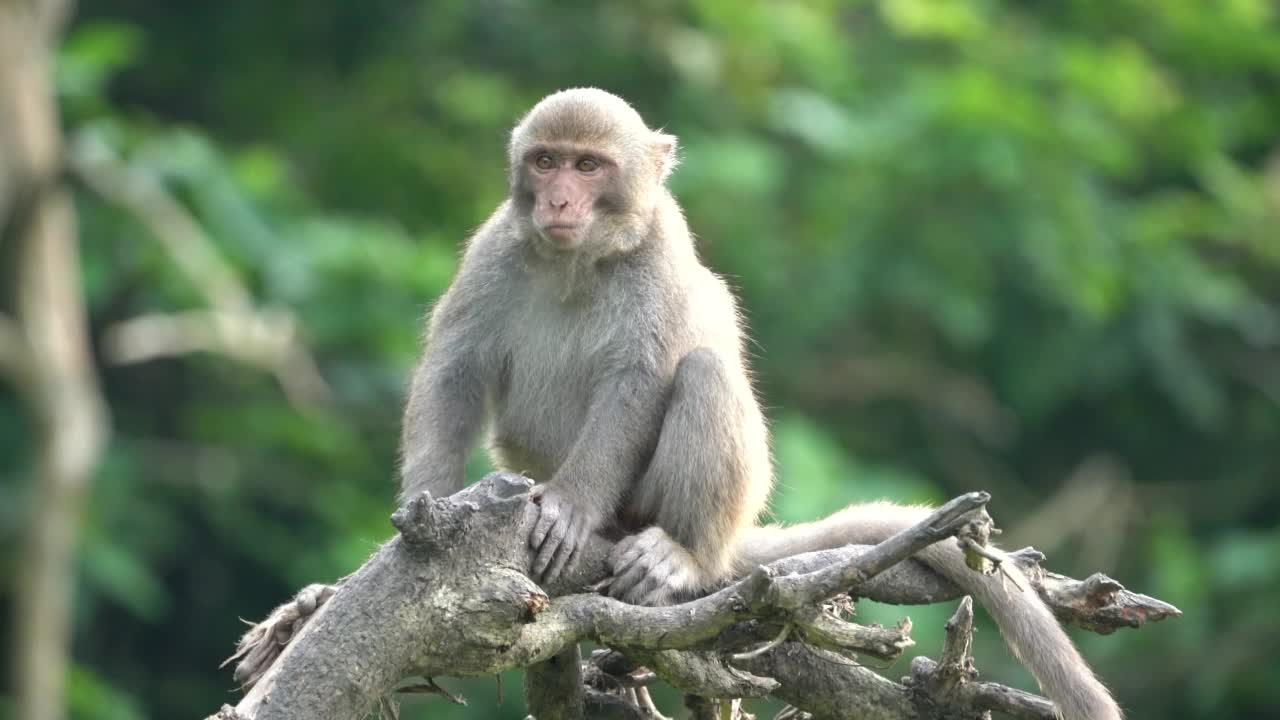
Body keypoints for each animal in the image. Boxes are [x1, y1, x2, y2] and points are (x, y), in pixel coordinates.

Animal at [396, 88, 1121, 717]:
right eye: (545, 161)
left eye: (588, 164)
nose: (559, 198)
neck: (580, 261)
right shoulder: (496, 247)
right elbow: (454, 370)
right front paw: (427, 512)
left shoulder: (660, 253)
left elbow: (639, 381)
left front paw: (572, 505)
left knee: (705, 372)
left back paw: (683, 557)